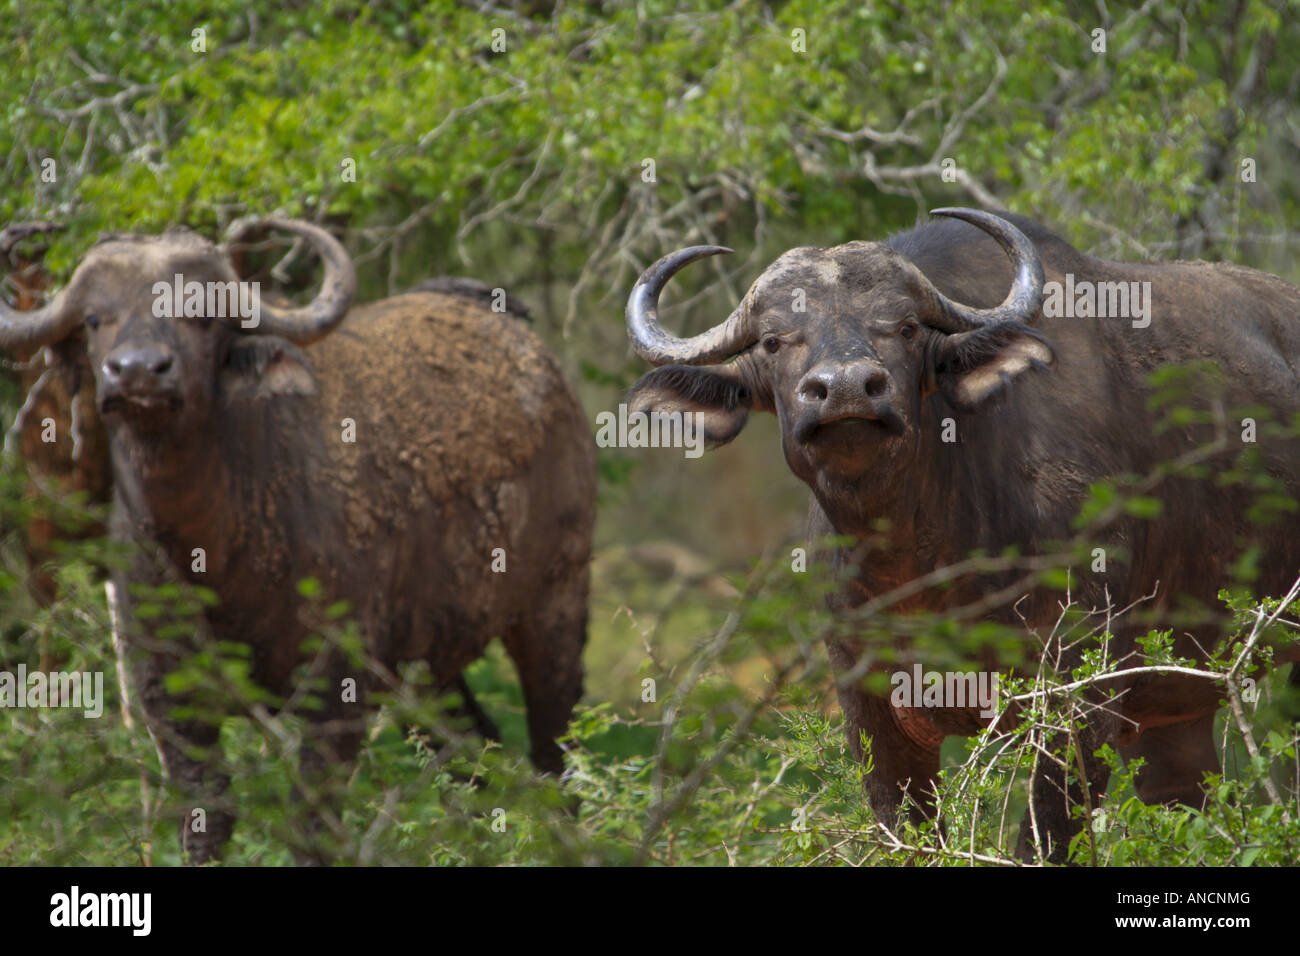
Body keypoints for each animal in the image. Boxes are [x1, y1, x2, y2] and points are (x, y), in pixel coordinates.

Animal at [0, 221, 595, 863]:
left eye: (201, 316)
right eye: (94, 318)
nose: (137, 372)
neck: (214, 551)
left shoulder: (335, 686)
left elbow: (313, 822)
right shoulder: (166, 693)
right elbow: (208, 817)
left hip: (556, 605)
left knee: (555, 755)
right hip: (429, 662)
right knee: (474, 750)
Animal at [624, 210, 1294, 868]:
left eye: (906, 328)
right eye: (772, 340)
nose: (846, 388)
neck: (923, 565)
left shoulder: (1079, 695)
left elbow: (1045, 840)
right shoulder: (871, 713)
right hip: (1177, 704)